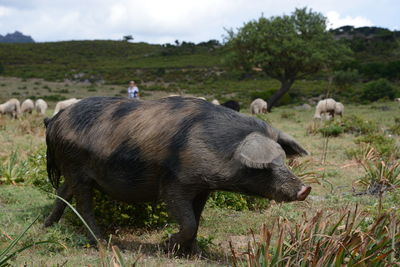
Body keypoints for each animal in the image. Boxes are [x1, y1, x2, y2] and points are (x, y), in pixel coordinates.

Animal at [44, 96, 312, 253]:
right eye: (265, 166)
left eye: (283, 160)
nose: (305, 189)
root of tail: (56, 120)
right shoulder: (175, 184)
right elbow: (189, 221)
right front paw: (166, 245)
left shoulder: (203, 187)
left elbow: (197, 218)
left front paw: (195, 253)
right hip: (76, 168)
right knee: (83, 205)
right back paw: (102, 242)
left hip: (71, 171)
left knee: (62, 192)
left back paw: (47, 226)